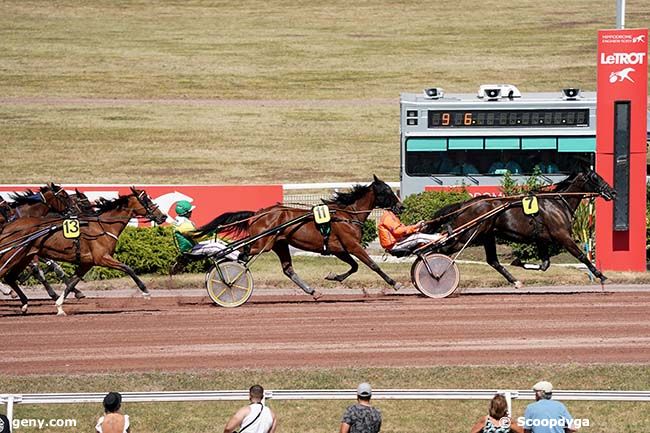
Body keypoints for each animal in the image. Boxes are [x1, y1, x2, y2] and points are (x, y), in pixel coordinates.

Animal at [0, 187, 166, 312]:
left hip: (24, 256)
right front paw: (146, 292)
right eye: (146, 200)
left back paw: (24, 303)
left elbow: (72, 282)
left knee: (10, 277)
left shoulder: (87, 263)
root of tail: (8, 226)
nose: (163, 216)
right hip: (13, 255)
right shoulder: (102, 258)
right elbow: (128, 268)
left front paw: (60, 305)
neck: (103, 226)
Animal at [195, 175, 402, 296]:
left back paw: (312, 291)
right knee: (241, 254)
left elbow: (355, 266)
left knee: (288, 269)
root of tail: (258, 213)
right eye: (387, 191)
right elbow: (372, 265)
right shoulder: (352, 245)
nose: (401, 207)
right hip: (262, 243)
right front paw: (394, 283)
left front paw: (333, 276)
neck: (347, 215)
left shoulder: (339, 249)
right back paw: (229, 281)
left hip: (279, 244)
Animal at [422, 170, 616, 286]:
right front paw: (601, 276)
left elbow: (545, 264)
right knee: (438, 250)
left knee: (493, 261)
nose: (613, 192)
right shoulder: (562, 235)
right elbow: (582, 256)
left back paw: (515, 281)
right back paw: (434, 275)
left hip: (486, 235)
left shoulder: (542, 240)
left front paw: (518, 262)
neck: (558, 202)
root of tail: (466, 203)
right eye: (596, 177)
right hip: (466, 236)